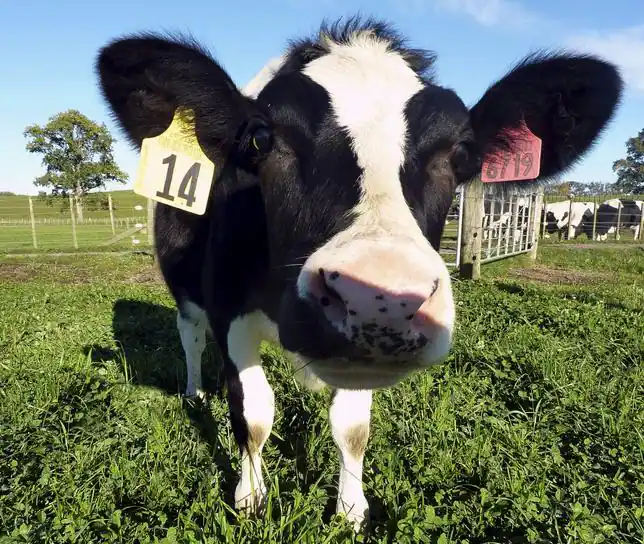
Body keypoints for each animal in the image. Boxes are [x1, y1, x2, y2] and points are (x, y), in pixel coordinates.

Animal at [97, 18, 624, 532]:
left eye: (461, 154)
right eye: (261, 139)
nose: (380, 298)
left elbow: (352, 428)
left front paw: (351, 510)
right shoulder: (229, 309)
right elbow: (253, 414)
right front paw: (250, 499)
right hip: (184, 284)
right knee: (189, 334)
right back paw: (194, 392)